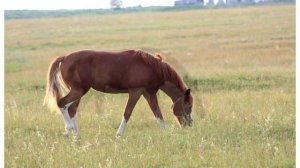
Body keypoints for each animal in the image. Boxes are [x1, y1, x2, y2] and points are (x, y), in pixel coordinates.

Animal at [43, 49, 193, 138]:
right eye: (188, 106)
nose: (189, 124)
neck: (151, 67)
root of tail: (64, 58)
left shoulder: (148, 94)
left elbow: (157, 113)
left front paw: (166, 132)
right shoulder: (136, 92)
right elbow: (127, 113)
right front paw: (119, 135)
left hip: (79, 92)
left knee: (72, 110)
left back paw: (77, 136)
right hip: (78, 91)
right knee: (62, 103)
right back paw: (69, 129)